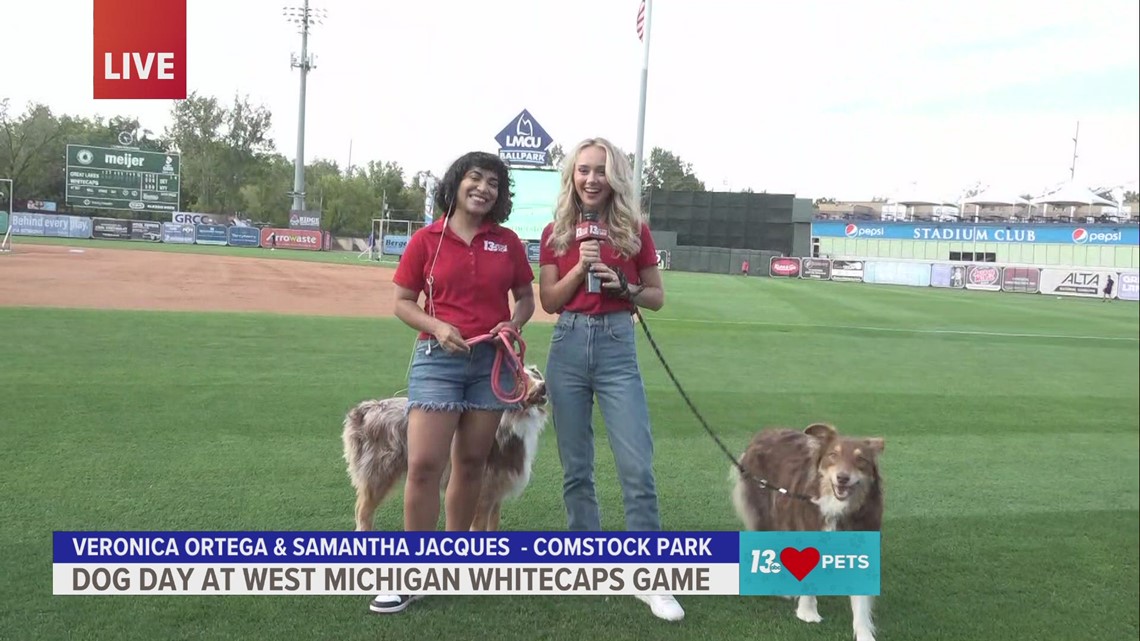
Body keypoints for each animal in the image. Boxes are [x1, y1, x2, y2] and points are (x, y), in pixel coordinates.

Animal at [339, 362, 549, 531]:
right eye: (521, 379)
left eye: (536, 375)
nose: (544, 386)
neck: (511, 419)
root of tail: (365, 409)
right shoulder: (483, 494)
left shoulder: (496, 493)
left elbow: (494, 526)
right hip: (379, 474)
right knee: (363, 512)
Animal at [734, 422, 884, 634]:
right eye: (833, 455)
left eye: (860, 459)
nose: (842, 478)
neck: (837, 508)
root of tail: (765, 431)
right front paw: (808, 612)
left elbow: (861, 602)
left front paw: (864, 633)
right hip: (767, 515)